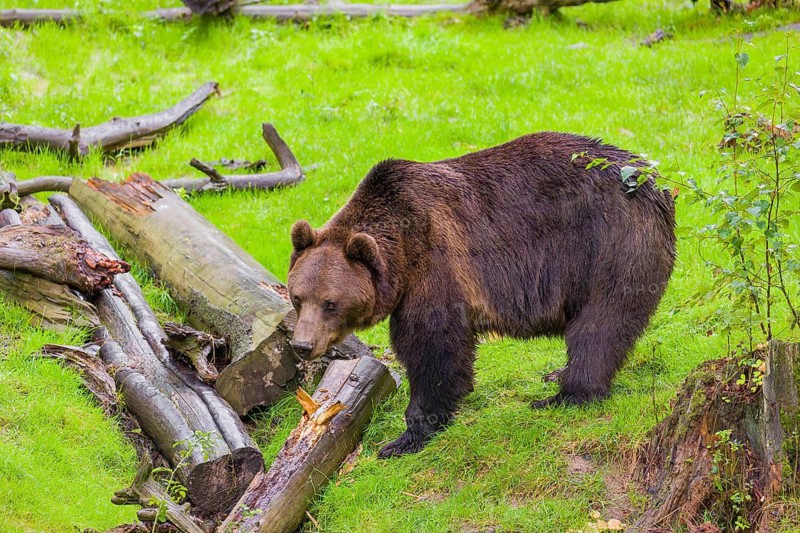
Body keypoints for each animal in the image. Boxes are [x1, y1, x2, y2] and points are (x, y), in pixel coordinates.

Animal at [286, 132, 676, 458]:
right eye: (298, 297)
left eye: (330, 303)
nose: (302, 345)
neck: (402, 254)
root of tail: (653, 182)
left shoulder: (436, 263)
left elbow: (433, 345)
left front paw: (406, 437)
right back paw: (557, 376)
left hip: (609, 245)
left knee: (601, 322)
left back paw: (566, 394)